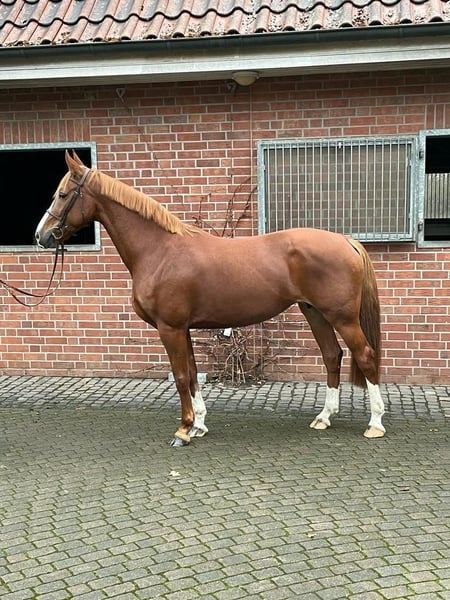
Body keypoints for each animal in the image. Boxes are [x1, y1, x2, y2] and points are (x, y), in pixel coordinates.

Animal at [35, 150, 386, 446]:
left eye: (63, 195)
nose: (42, 236)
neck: (159, 250)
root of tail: (346, 241)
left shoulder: (170, 328)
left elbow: (179, 377)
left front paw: (183, 430)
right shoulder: (184, 328)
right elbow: (191, 374)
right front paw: (199, 425)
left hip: (341, 317)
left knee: (365, 355)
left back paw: (375, 423)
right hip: (314, 312)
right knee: (332, 356)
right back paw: (324, 417)